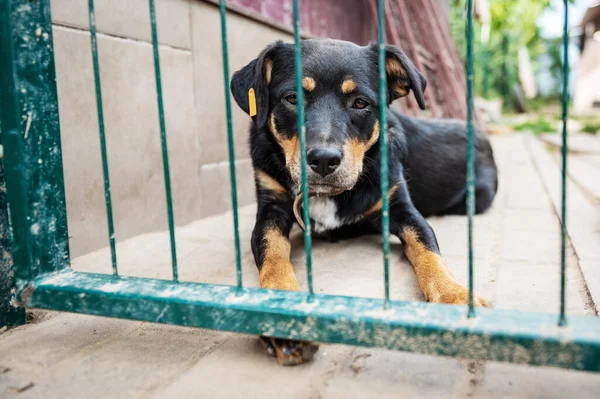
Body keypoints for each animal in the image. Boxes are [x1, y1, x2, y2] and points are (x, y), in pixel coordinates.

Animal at [230, 39, 496, 368]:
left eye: (360, 103)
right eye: (292, 98)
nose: (324, 159)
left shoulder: (402, 208)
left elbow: (429, 253)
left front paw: (454, 298)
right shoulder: (271, 208)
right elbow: (273, 256)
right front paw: (282, 314)